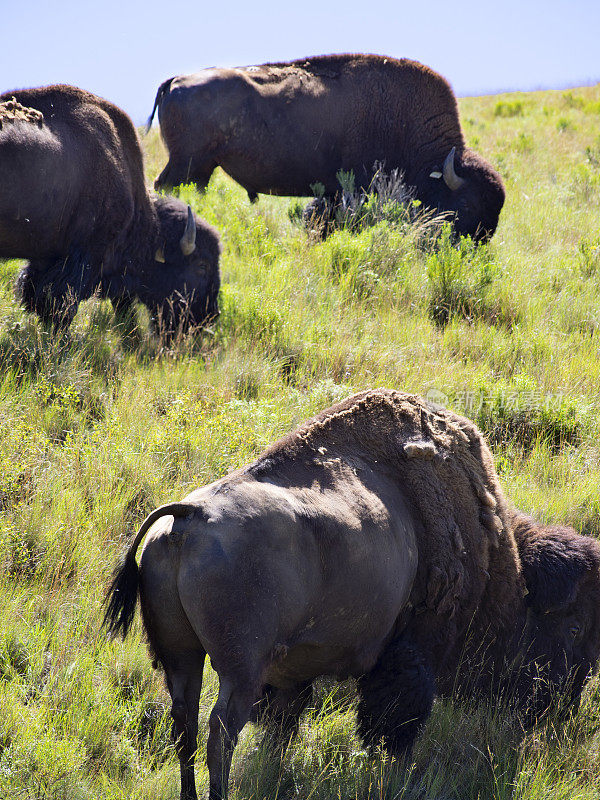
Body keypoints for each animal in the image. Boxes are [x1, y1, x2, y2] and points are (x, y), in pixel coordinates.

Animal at [103, 390, 600, 800]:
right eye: (574, 626)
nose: (565, 705)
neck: (496, 558)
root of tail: (188, 517)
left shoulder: (292, 672)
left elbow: (284, 722)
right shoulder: (413, 652)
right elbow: (395, 722)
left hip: (181, 655)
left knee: (184, 724)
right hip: (238, 666)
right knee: (220, 731)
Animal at [148, 54, 504, 241]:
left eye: (496, 209)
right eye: (467, 204)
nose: (475, 246)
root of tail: (175, 81)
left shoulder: (334, 191)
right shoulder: (355, 188)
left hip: (201, 168)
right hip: (187, 164)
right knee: (167, 187)